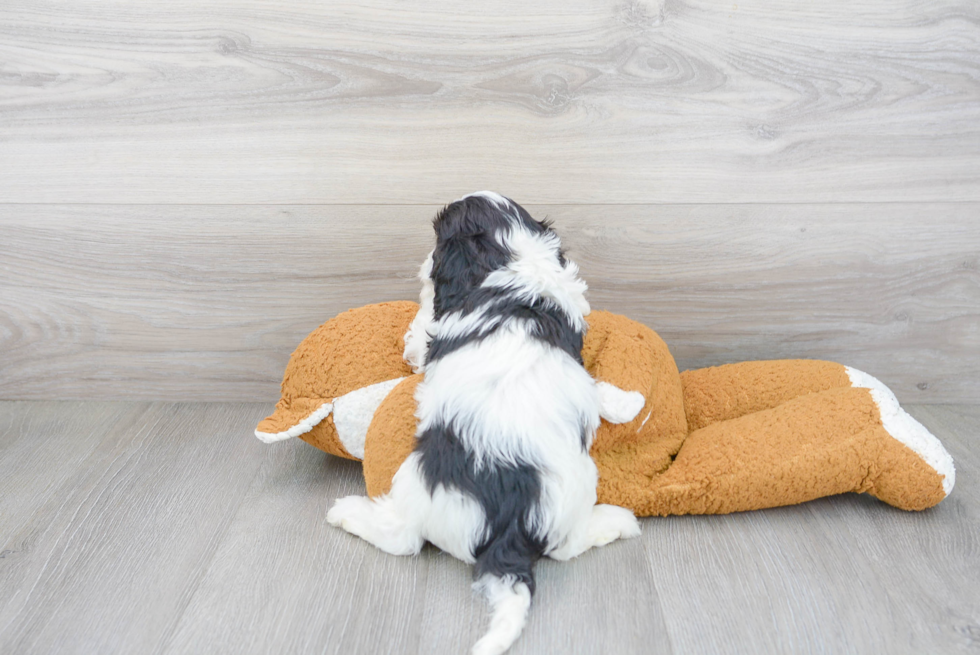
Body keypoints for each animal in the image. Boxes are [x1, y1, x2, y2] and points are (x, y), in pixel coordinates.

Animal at [328, 191, 644, 655]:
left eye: (437, 239)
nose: (423, 260)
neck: (512, 264)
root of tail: (508, 525)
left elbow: (420, 333)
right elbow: (596, 386)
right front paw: (630, 401)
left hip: (414, 481)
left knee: (402, 537)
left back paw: (344, 512)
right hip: (578, 486)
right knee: (565, 546)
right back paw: (618, 522)